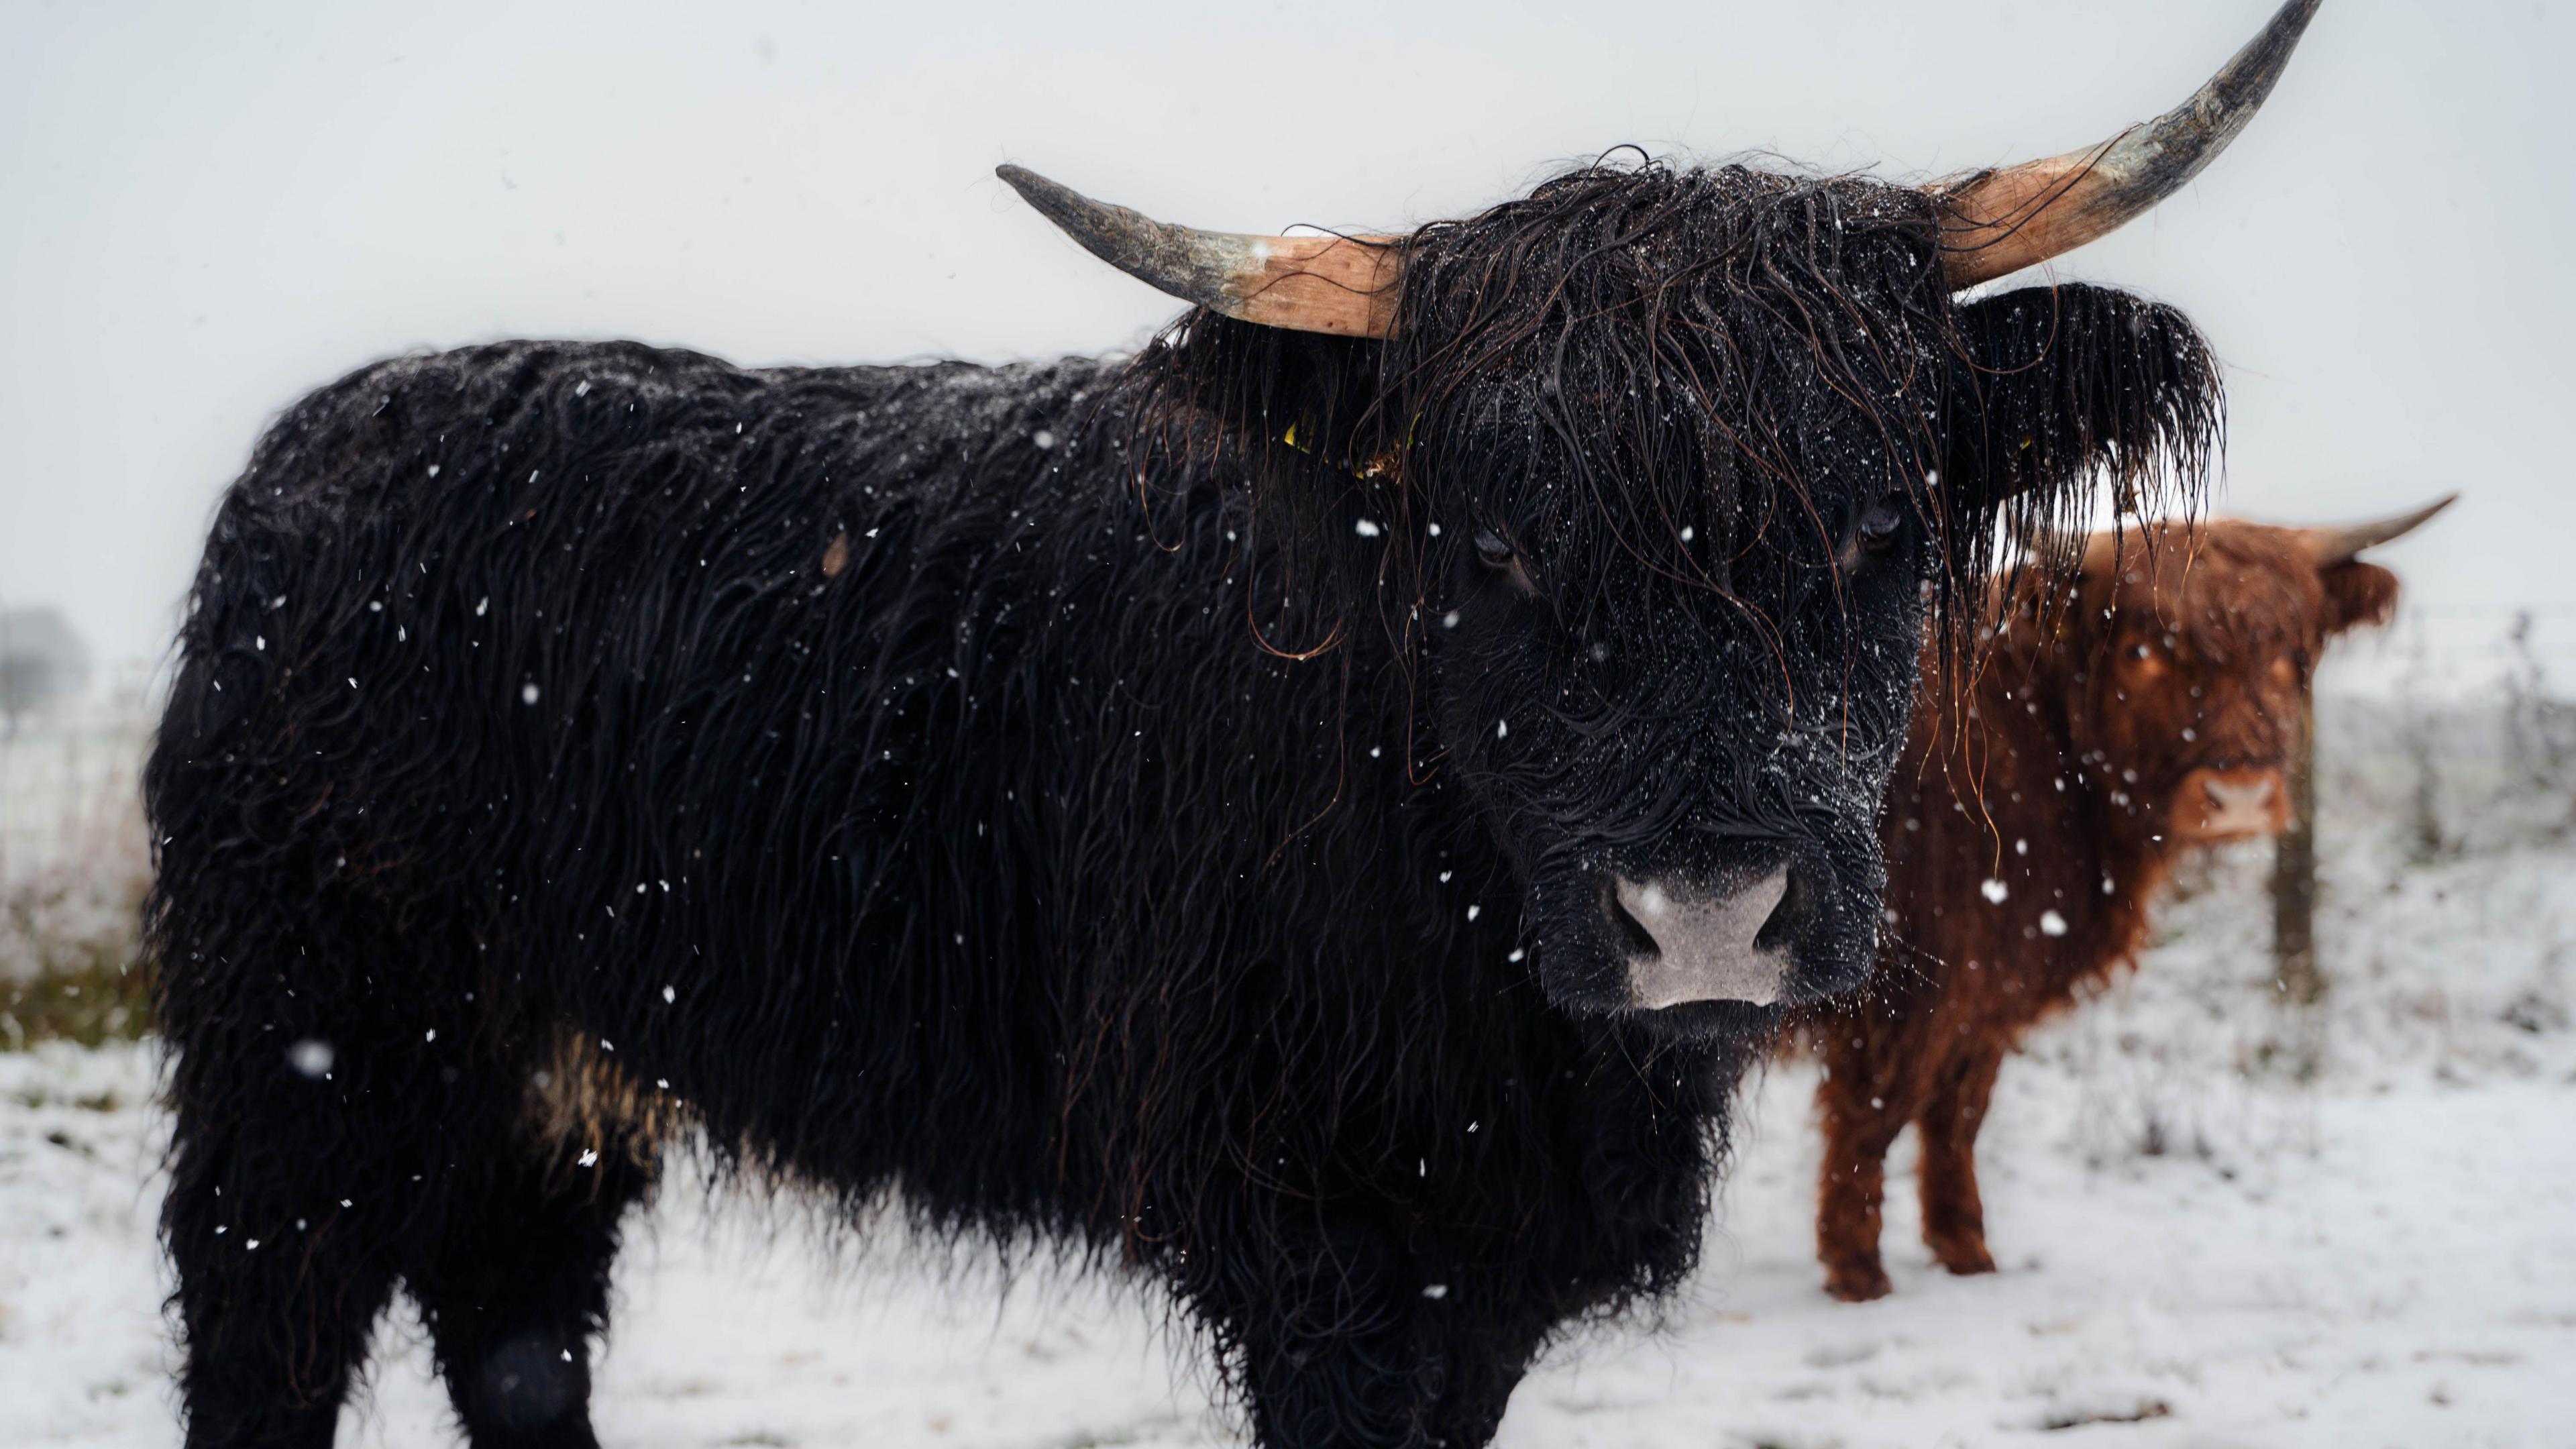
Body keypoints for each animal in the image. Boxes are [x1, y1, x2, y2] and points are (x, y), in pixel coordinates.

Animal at [141, 5, 2318, 1433]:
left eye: (1878, 529)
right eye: (1486, 550)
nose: (1706, 914)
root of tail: (329, 441)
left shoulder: (1484, 1257)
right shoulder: (1317, 1238)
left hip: (538, 1097)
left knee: (514, 1339)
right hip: (302, 1064)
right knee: (269, 1336)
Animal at [1803, 500, 2442, 1299]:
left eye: (2290, 654)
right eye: (2142, 651)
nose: (2239, 797)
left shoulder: (1987, 991)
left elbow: (1958, 1115)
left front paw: (1966, 1251)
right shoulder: (1906, 991)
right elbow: (1873, 1117)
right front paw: (1857, 1273)